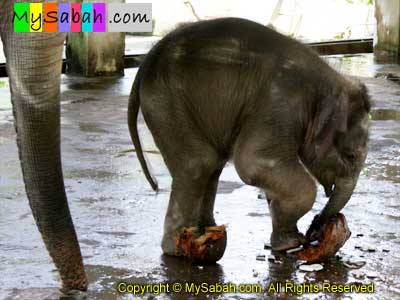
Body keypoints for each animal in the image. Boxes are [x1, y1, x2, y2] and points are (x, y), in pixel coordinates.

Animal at [127, 17, 368, 262]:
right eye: (350, 156)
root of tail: (143, 67)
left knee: (213, 164)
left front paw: (286, 243)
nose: (315, 228)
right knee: (197, 165)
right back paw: (179, 249)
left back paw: (208, 236)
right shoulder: (279, 104)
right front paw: (292, 243)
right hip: (167, 103)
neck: (327, 83)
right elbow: (253, 162)